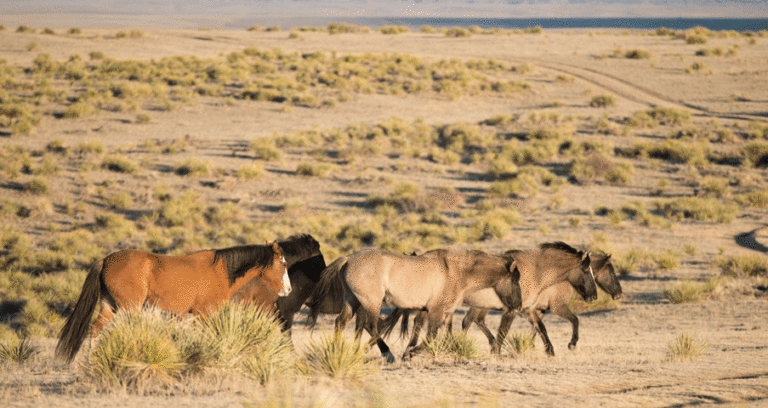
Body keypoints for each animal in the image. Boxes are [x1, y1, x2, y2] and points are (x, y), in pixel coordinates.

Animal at [55, 241, 290, 364]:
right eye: (283, 264)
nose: (288, 290)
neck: (222, 271)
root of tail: (105, 260)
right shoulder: (204, 314)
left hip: (108, 306)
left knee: (95, 330)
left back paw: (91, 361)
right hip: (129, 307)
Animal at [308, 247, 516, 362]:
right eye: (515, 280)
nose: (517, 304)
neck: (456, 271)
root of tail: (348, 259)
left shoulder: (445, 312)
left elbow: (446, 336)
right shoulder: (436, 310)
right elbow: (431, 337)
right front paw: (409, 354)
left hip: (353, 300)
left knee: (341, 322)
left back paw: (339, 351)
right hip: (371, 302)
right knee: (370, 326)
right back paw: (387, 354)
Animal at [380, 242, 599, 357]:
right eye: (586, 270)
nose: (594, 296)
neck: (535, 270)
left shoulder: (527, 309)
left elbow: (542, 328)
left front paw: (551, 351)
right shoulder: (513, 310)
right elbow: (503, 331)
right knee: (421, 322)